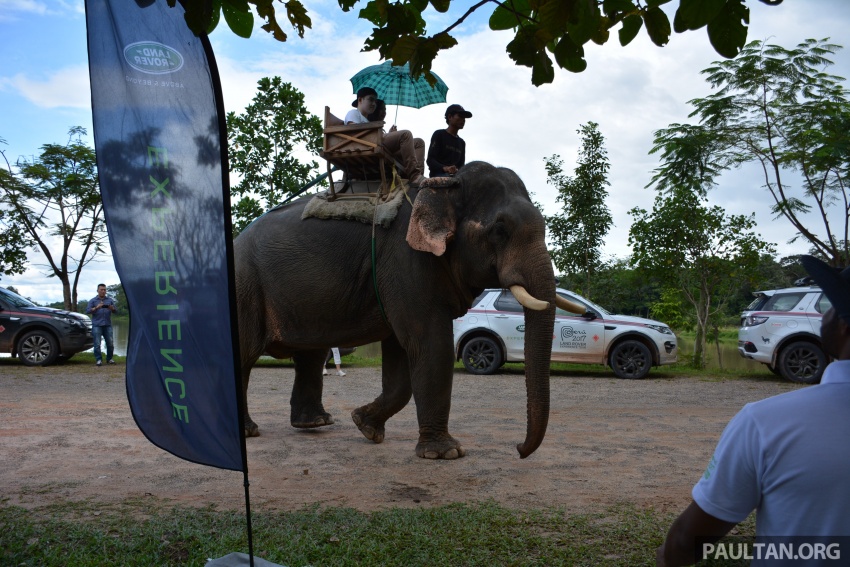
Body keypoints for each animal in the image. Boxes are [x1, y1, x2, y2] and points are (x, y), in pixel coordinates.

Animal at [232, 161, 568, 462]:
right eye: (500, 230)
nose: (519, 450)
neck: (443, 187)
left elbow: (401, 355)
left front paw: (364, 425)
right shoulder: (406, 261)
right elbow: (430, 344)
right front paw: (446, 454)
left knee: (311, 354)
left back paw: (315, 423)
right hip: (244, 287)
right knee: (246, 356)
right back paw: (249, 432)